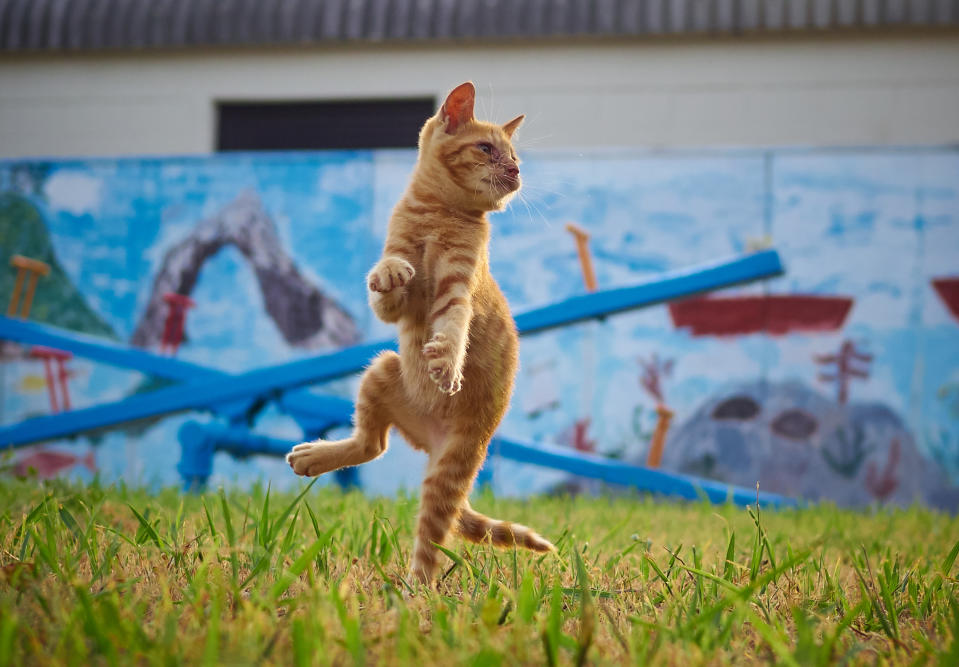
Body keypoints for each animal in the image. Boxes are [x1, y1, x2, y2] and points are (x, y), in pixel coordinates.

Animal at [284, 82, 556, 584]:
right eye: (486, 149)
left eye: (514, 157)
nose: (516, 171)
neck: (439, 214)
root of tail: (428, 439)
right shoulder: (398, 306)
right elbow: (391, 279)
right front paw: (391, 272)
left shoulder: (458, 288)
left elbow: (453, 326)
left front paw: (446, 361)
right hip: (382, 370)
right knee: (372, 444)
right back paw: (314, 457)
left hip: (450, 468)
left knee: (430, 540)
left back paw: (414, 590)